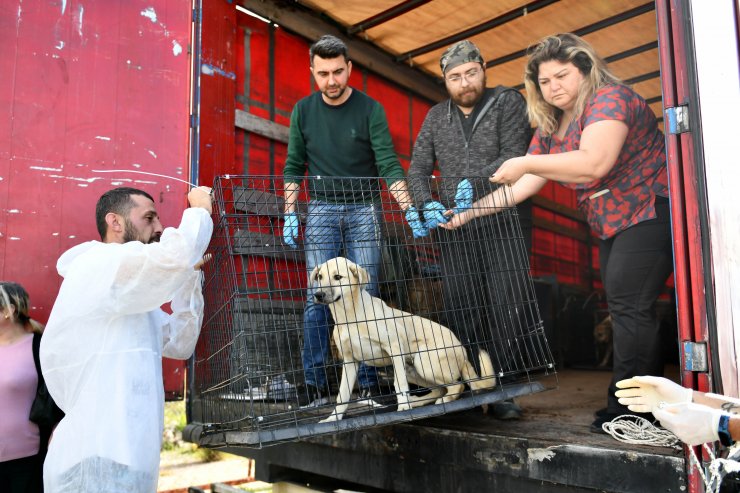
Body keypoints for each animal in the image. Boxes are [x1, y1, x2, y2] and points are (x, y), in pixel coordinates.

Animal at [310, 256, 494, 420]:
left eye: (338, 277)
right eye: (320, 277)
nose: (318, 295)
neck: (349, 317)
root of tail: (462, 349)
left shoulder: (395, 348)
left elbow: (399, 384)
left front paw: (403, 408)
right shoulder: (349, 361)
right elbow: (342, 396)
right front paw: (332, 419)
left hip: (423, 360)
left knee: (458, 385)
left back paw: (441, 400)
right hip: (411, 368)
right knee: (439, 389)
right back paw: (417, 402)